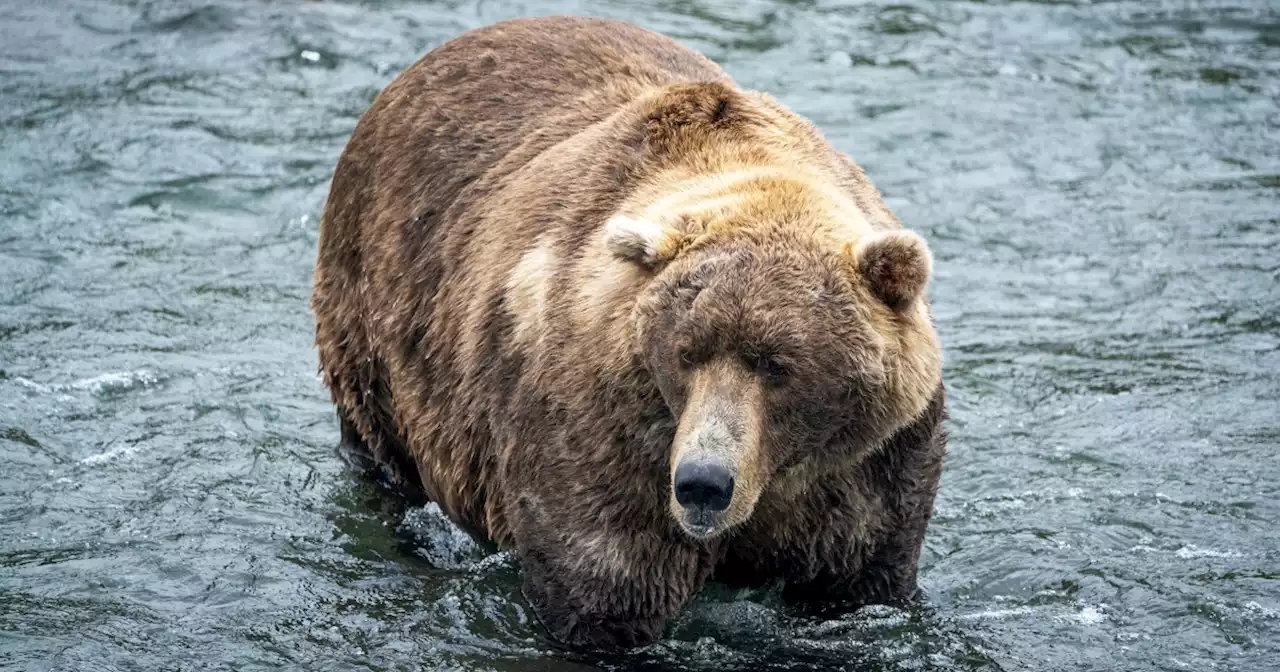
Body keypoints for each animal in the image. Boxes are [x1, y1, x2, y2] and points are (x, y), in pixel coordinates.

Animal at [312, 14, 942, 650]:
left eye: (776, 364)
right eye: (686, 353)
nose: (703, 482)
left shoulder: (866, 464)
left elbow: (859, 579)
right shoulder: (602, 433)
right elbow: (605, 589)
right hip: (374, 314)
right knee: (380, 452)